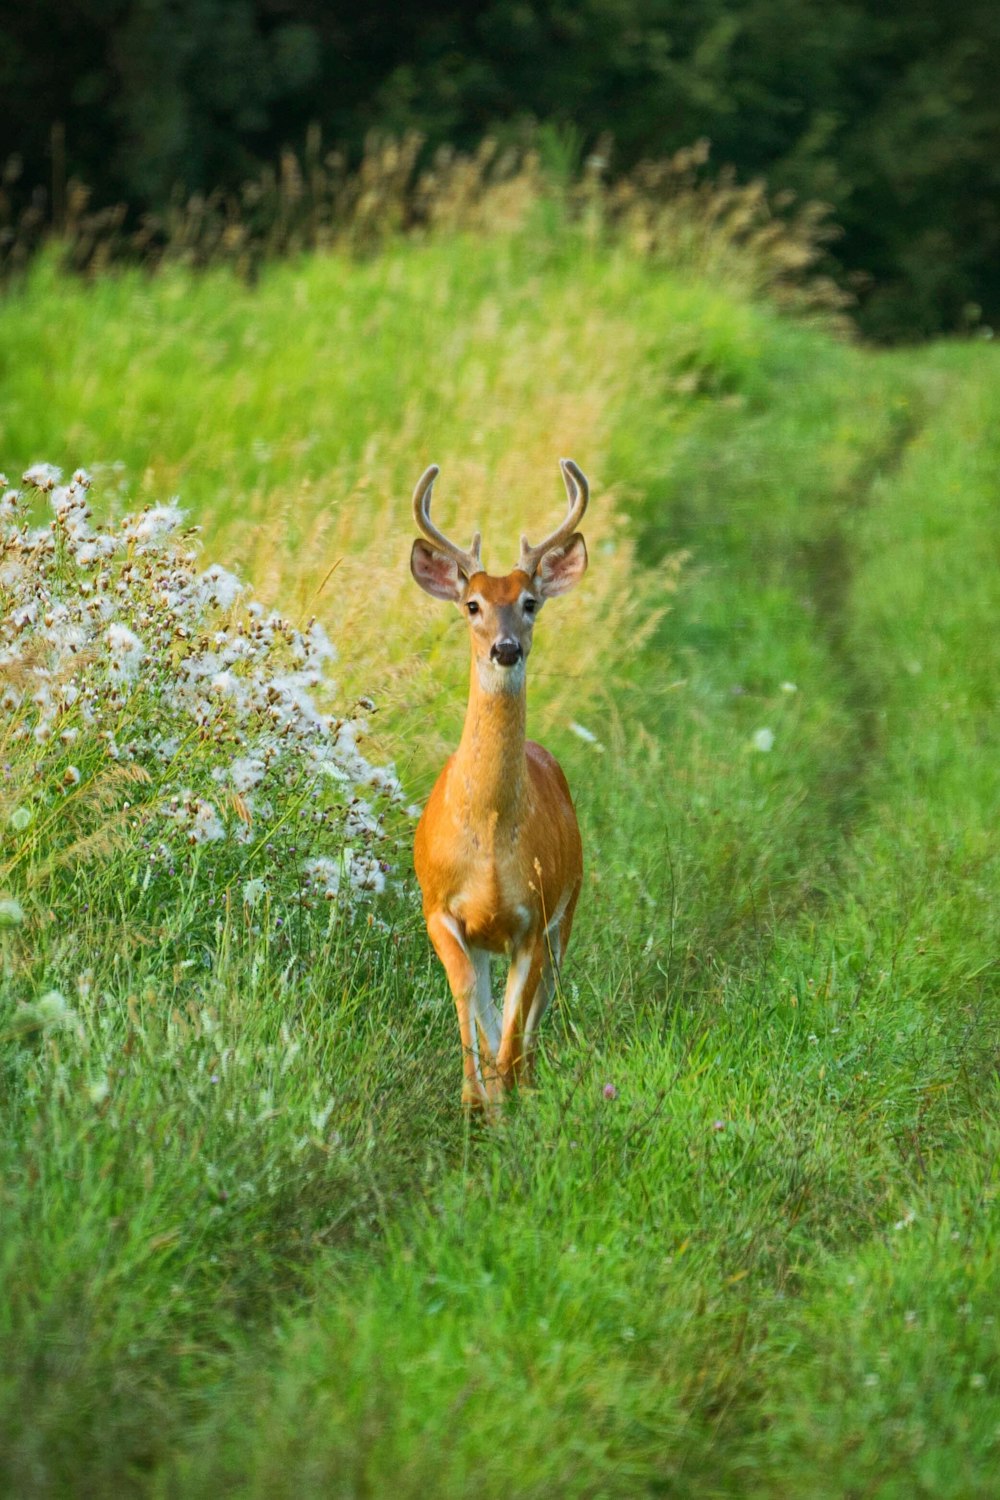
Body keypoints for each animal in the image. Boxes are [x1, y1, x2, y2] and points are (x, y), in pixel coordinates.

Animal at [410, 462, 590, 1110]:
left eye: (530, 602)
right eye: (472, 604)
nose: (505, 648)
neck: (489, 836)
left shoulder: (533, 918)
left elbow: (514, 1024)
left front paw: (507, 1100)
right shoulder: (439, 908)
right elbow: (472, 1004)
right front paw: (474, 1100)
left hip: (569, 907)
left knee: (537, 1010)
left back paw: (525, 1084)